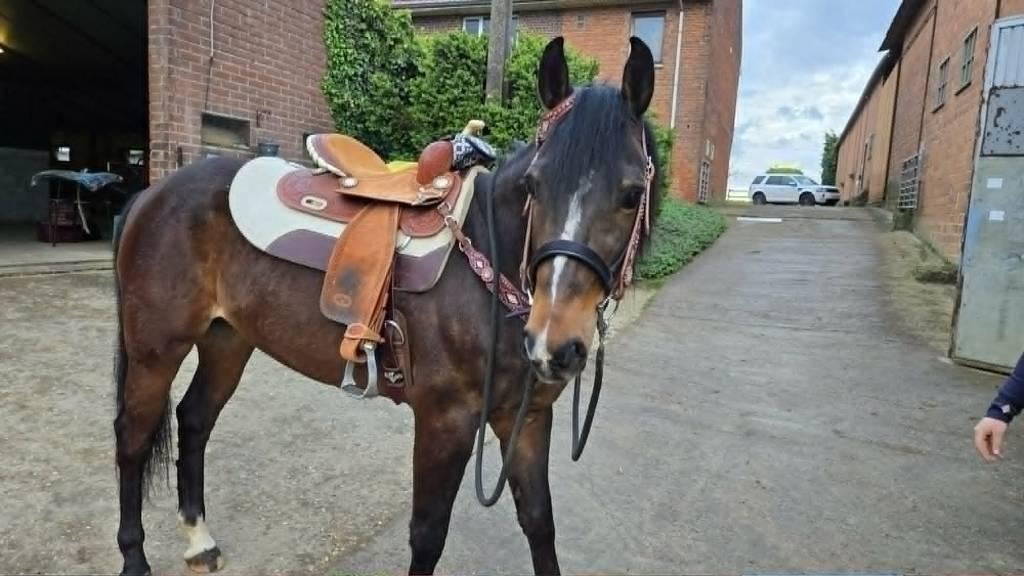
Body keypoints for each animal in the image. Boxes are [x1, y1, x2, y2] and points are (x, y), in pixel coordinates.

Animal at [112, 36, 660, 576]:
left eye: (632, 194)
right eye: (533, 186)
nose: (552, 344)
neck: (489, 258)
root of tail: (153, 193)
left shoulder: (526, 419)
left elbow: (540, 523)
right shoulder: (445, 421)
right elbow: (428, 535)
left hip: (227, 340)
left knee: (194, 419)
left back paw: (199, 540)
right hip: (155, 350)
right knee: (132, 437)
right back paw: (135, 558)